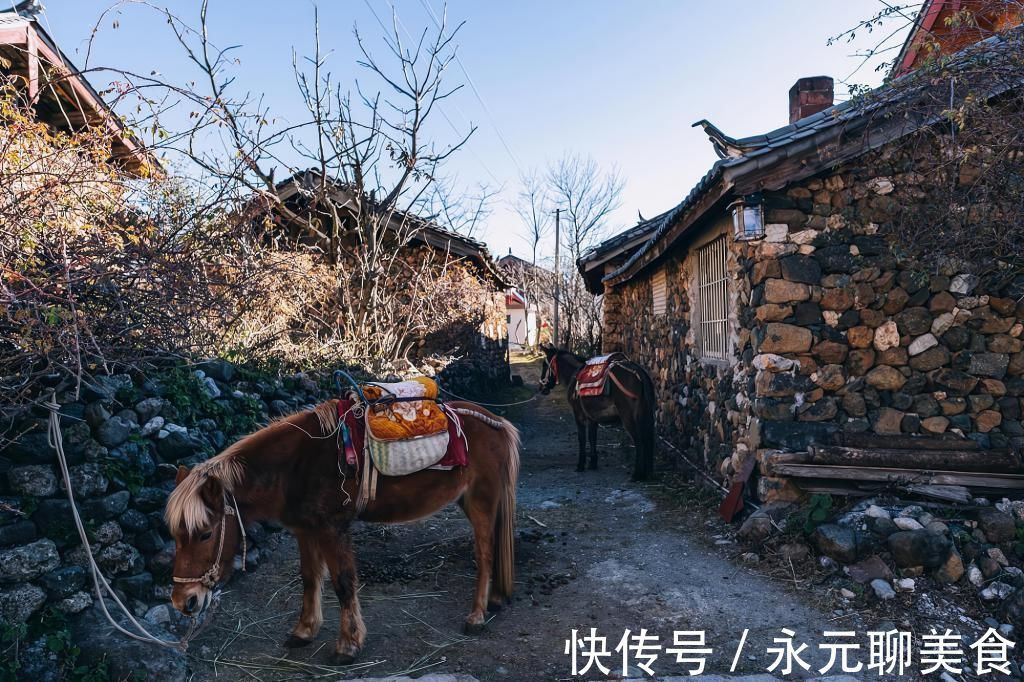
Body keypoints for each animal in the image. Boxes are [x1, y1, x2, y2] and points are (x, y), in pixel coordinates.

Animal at [166, 399, 520, 659]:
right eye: (175, 536)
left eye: (205, 534)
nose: (184, 602)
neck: (295, 466)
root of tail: (498, 423)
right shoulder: (305, 530)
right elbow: (310, 579)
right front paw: (304, 630)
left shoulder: (333, 529)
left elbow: (343, 583)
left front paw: (348, 645)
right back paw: (496, 600)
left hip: (481, 502)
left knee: (485, 556)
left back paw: (476, 616)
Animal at [536, 348, 655, 481]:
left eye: (545, 365)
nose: (541, 388)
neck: (574, 375)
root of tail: (639, 372)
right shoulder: (592, 417)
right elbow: (592, 438)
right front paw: (593, 463)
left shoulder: (579, 415)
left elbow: (582, 439)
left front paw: (580, 465)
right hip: (645, 415)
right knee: (647, 440)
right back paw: (647, 474)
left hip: (628, 418)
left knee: (639, 441)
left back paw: (637, 474)